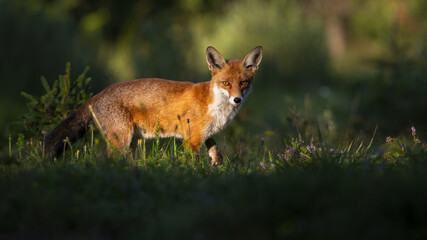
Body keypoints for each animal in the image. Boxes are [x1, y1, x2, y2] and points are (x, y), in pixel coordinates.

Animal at [45, 45, 262, 164]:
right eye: (226, 83)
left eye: (243, 83)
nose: (237, 99)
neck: (216, 106)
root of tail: (99, 94)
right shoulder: (190, 140)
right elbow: (193, 164)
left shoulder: (204, 134)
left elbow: (216, 153)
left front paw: (216, 166)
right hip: (120, 141)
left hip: (130, 144)